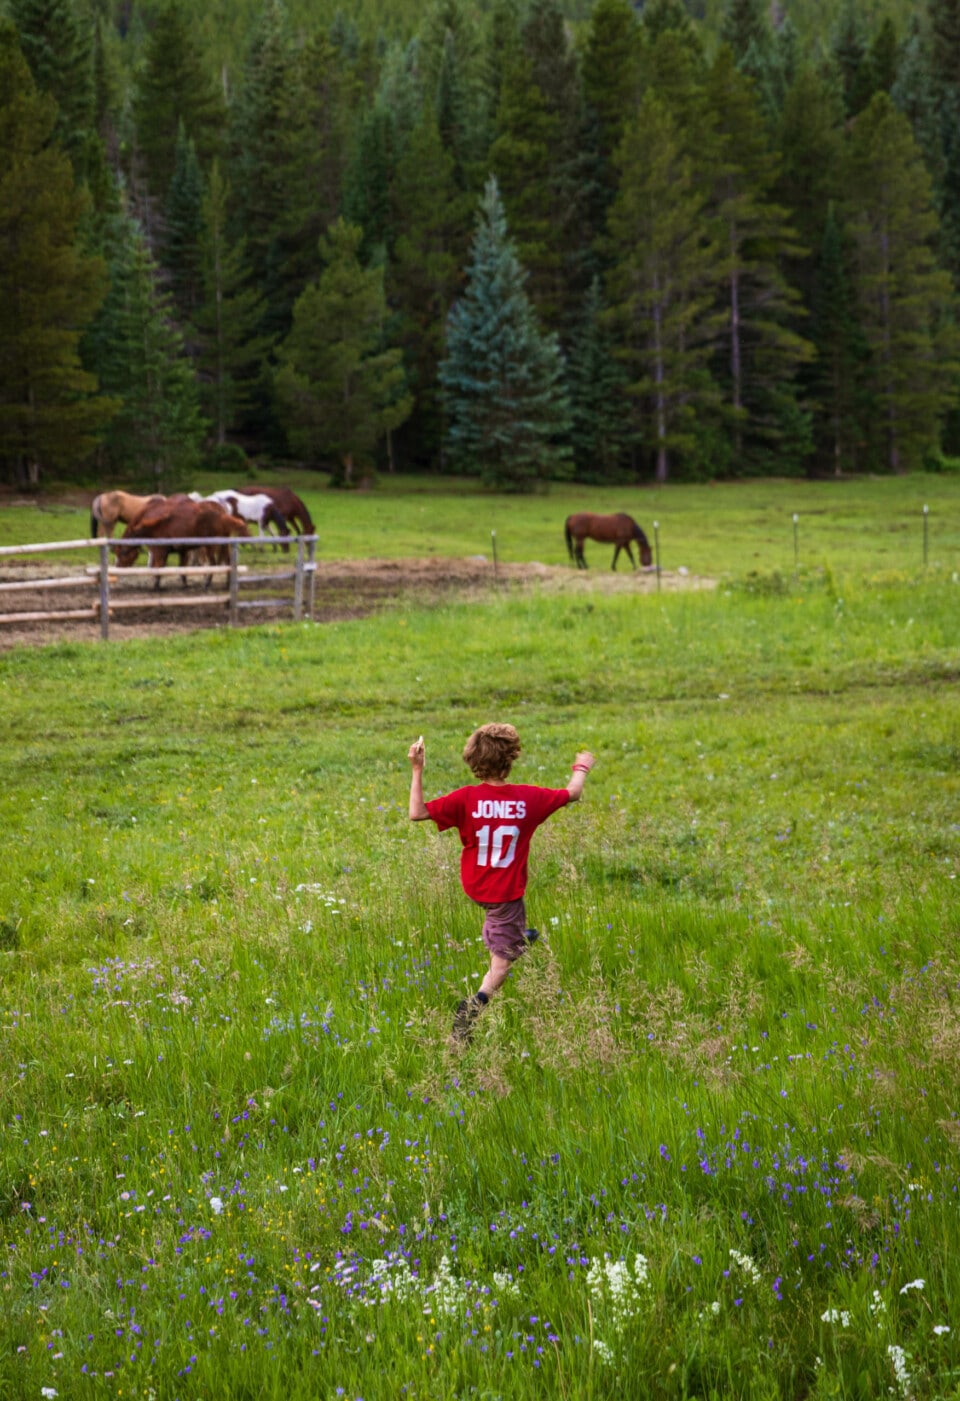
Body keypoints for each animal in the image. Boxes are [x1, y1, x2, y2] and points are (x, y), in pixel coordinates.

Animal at [113, 498, 249, 585]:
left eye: (122, 553)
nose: (117, 569)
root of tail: (221, 513)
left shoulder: (159, 550)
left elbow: (158, 566)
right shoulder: (182, 550)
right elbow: (181, 567)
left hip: (210, 547)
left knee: (212, 564)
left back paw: (207, 582)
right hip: (223, 545)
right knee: (227, 562)